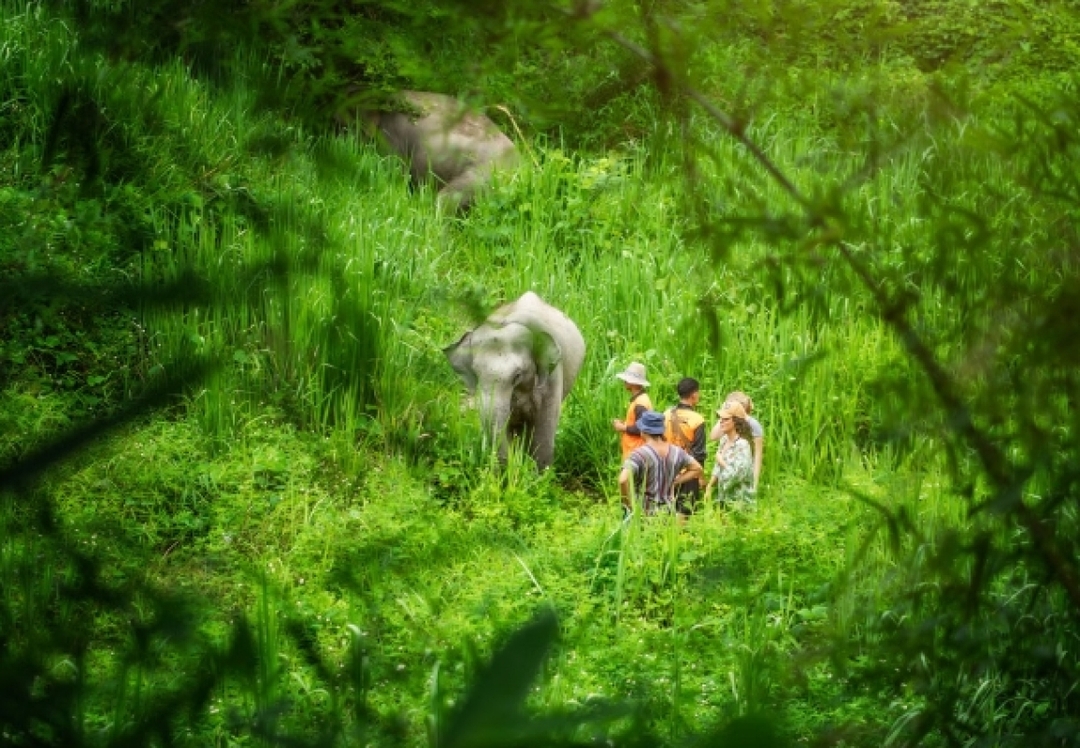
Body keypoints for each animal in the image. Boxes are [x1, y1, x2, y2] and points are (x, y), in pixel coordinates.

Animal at [444, 292, 586, 470]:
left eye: (517, 375)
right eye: (476, 373)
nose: (505, 466)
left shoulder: (553, 377)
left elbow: (544, 427)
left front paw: (540, 474)